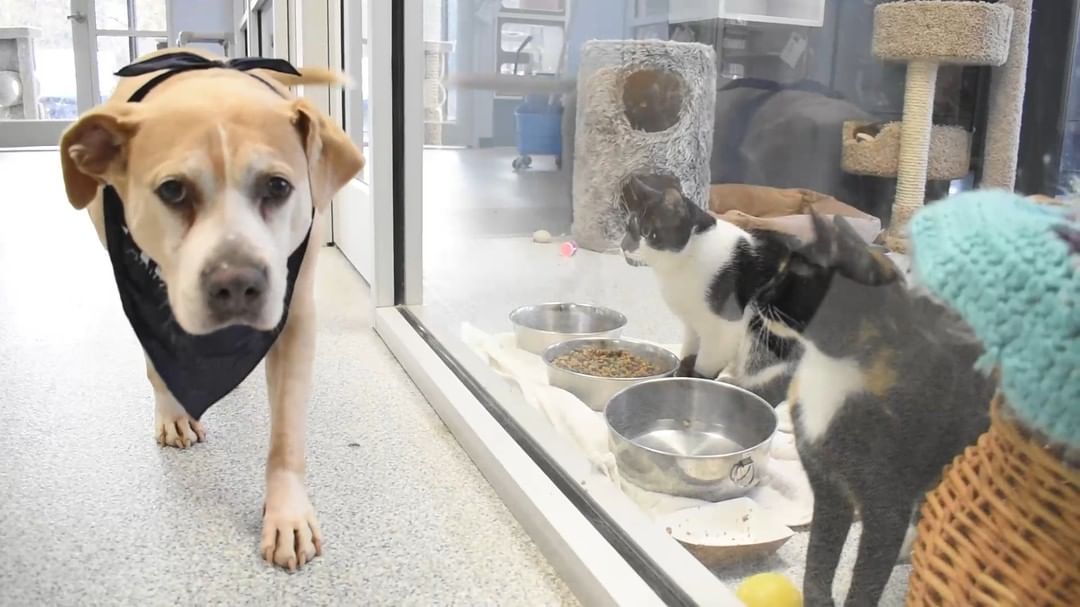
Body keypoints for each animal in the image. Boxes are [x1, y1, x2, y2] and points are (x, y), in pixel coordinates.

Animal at [58, 50, 362, 565]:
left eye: (278, 186)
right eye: (173, 191)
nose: (237, 283)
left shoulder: (295, 314)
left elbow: (287, 431)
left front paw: (287, 513)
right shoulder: (142, 295)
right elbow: (158, 363)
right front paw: (172, 411)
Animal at [622, 172, 799, 403]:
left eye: (646, 231)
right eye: (627, 228)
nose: (624, 245)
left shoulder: (724, 327)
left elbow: (706, 364)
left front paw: (696, 382)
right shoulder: (693, 322)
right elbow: (689, 351)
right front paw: (681, 371)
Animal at [751, 212, 993, 604]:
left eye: (794, 275)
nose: (760, 295)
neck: (832, 367)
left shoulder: (885, 505)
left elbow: (866, 578)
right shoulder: (828, 487)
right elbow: (818, 559)